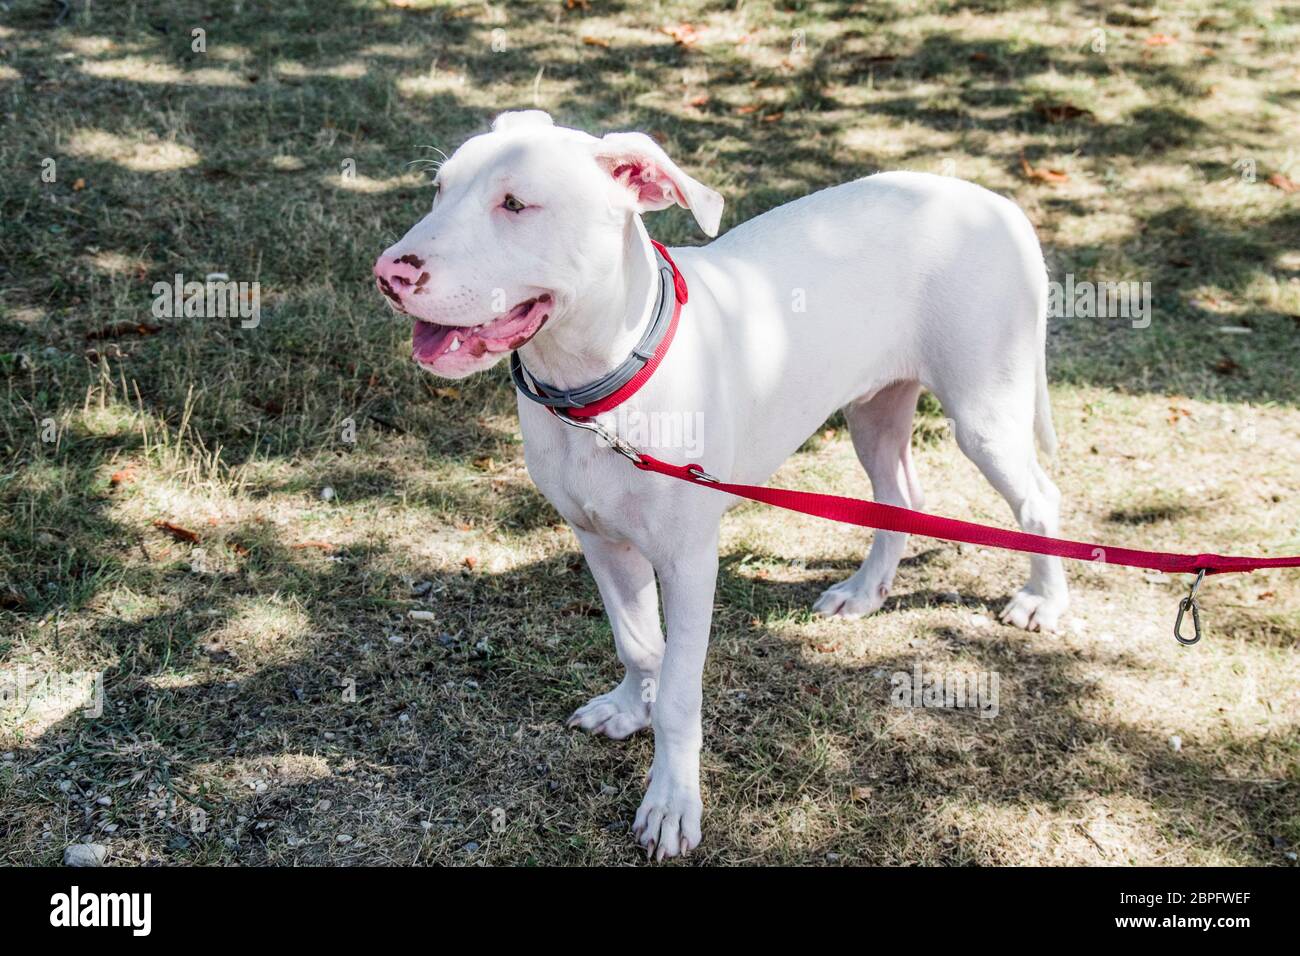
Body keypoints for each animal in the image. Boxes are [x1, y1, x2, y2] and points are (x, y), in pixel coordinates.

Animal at [374, 111, 1066, 858]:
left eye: (515, 204)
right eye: (439, 190)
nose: (388, 273)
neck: (596, 391)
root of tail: (993, 202)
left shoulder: (689, 562)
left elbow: (681, 691)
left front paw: (672, 803)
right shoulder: (600, 540)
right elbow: (637, 642)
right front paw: (630, 709)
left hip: (984, 409)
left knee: (1038, 499)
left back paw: (1043, 601)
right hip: (875, 405)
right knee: (902, 497)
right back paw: (864, 592)